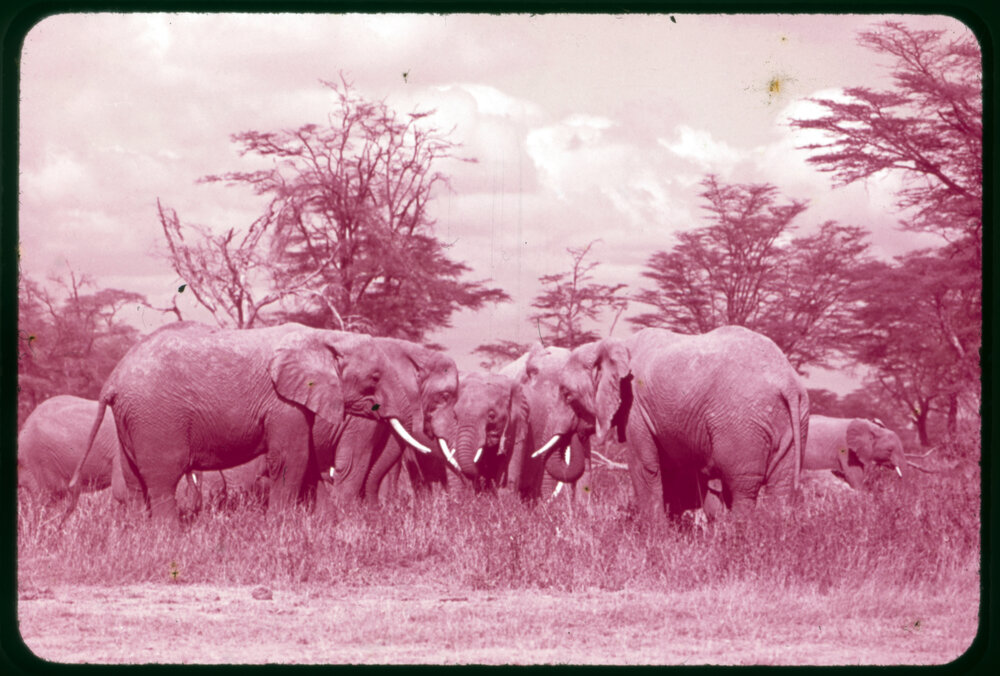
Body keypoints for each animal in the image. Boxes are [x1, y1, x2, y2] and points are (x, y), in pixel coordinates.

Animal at [67, 322, 450, 522]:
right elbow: (291, 460)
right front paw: (281, 527)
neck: (323, 337)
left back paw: (141, 537)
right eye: (374, 377)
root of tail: (112, 379)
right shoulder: (283, 403)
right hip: (156, 418)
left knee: (134, 481)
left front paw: (318, 526)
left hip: (131, 419)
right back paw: (169, 539)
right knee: (162, 478)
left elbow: (307, 462)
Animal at [551, 326, 809, 518]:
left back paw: (737, 541)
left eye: (567, 395)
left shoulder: (636, 408)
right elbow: (678, 472)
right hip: (792, 421)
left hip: (742, 422)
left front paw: (655, 540)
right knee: (780, 488)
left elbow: (645, 468)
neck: (612, 345)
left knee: (742, 488)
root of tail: (787, 380)